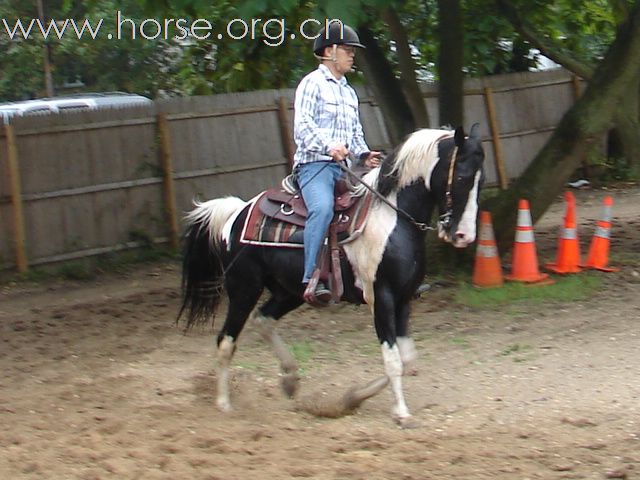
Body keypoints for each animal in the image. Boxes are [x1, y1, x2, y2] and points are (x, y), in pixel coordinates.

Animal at [178, 124, 482, 428]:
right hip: (244, 288)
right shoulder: (380, 297)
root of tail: (237, 213)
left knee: (263, 320)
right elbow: (393, 359)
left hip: (291, 292)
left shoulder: (404, 298)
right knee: (226, 341)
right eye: (463, 176)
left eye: (480, 178)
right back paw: (224, 404)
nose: (464, 236)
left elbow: (406, 359)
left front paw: (352, 398)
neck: (390, 218)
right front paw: (401, 413)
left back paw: (290, 379)